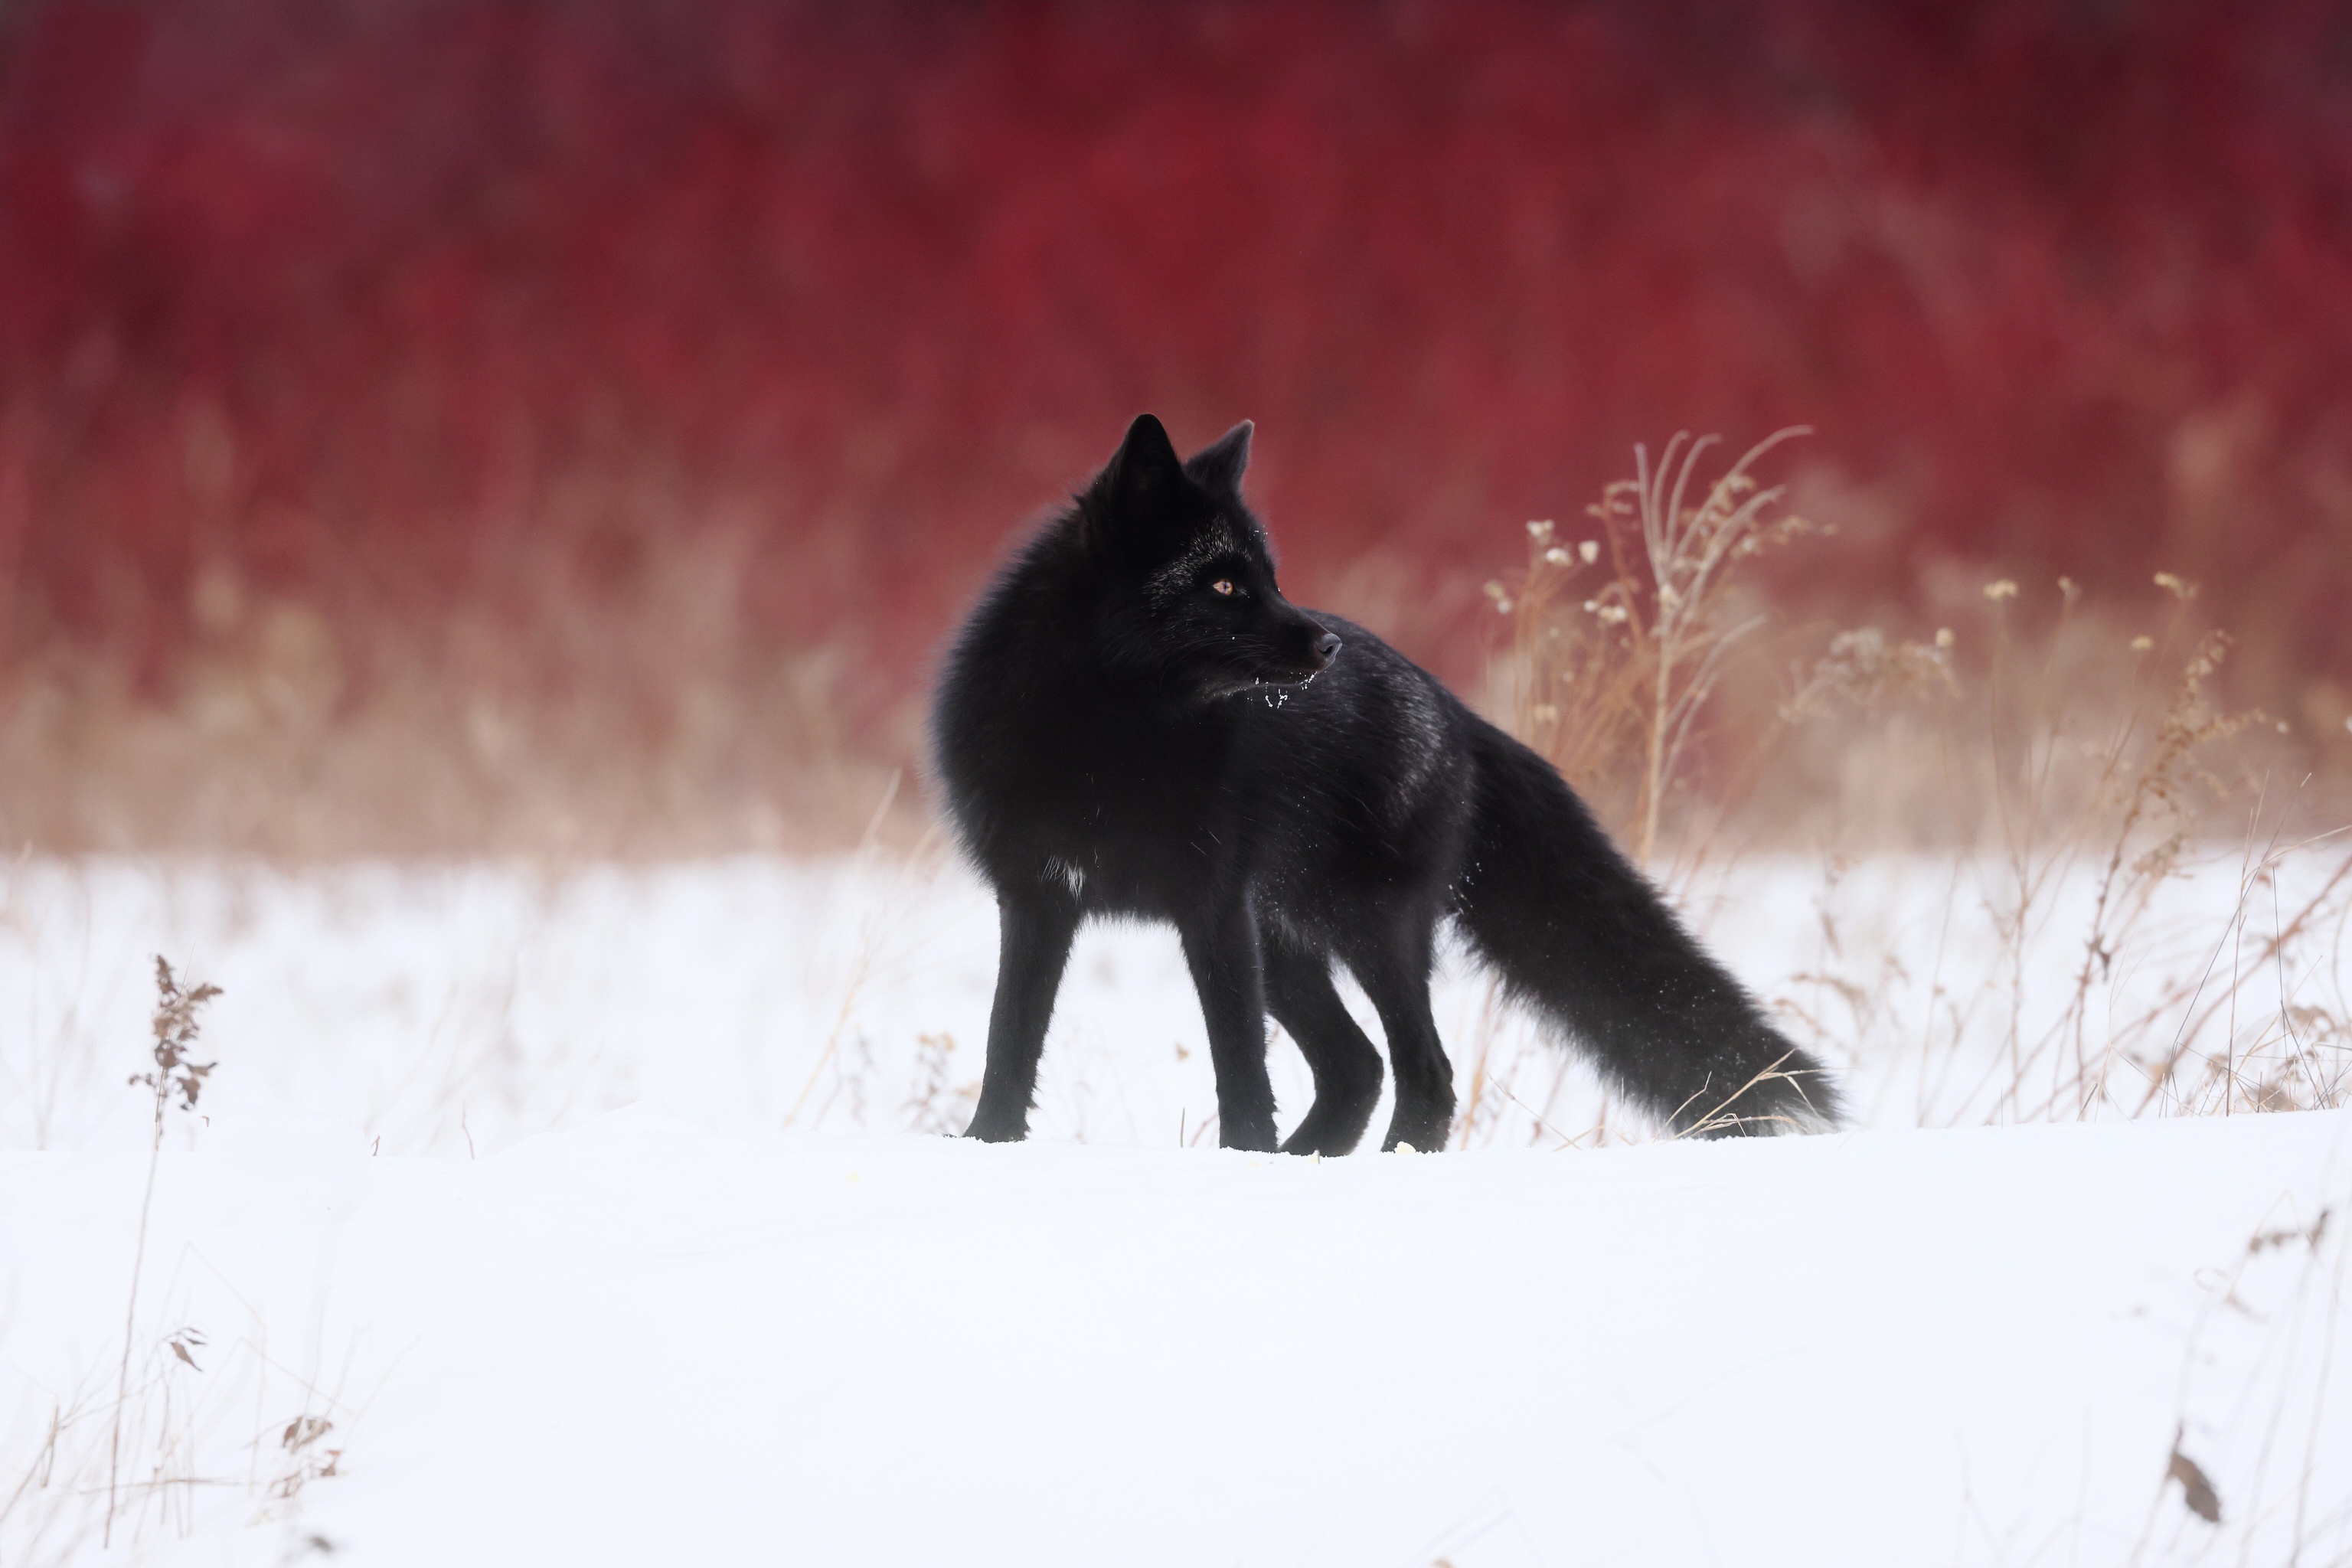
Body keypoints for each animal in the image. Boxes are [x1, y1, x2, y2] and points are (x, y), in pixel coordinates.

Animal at [931, 414, 1841, 1154]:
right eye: (1222, 583)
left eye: (1269, 575)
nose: (1326, 644)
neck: (1106, 744)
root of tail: (1454, 706)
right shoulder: (1037, 897)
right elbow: (1007, 1041)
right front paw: (986, 1147)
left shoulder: (1212, 906)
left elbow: (1239, 1069)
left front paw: (1241, 1161)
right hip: (1289, 943)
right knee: (1359, 1067)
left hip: (1369, 927)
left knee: (1422, 1071)